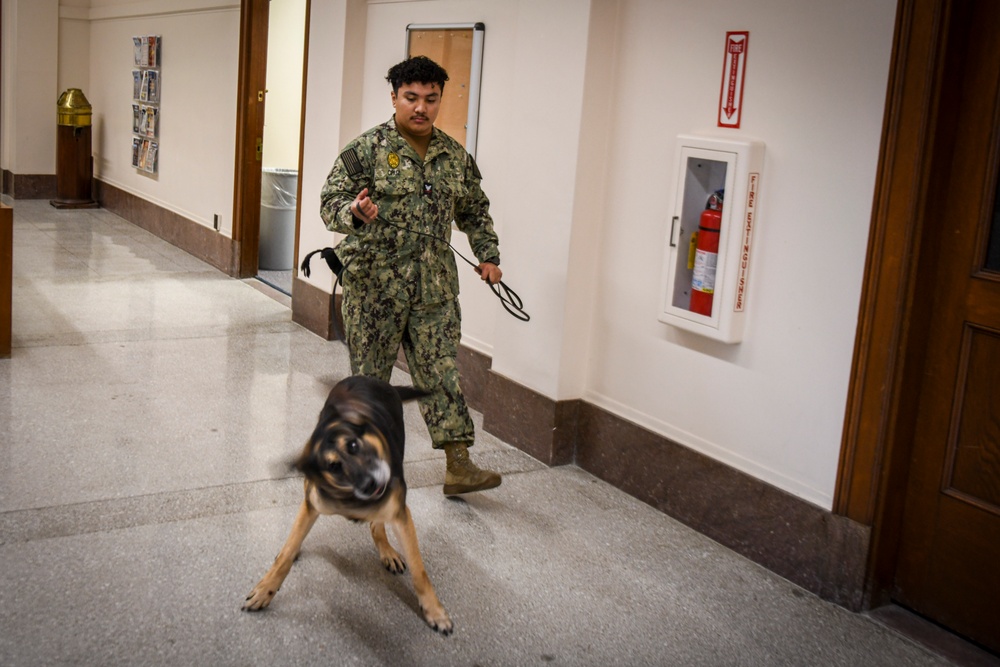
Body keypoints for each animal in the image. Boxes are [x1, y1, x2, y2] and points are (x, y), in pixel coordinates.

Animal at [246, 378, 454, 636]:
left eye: (353, 445)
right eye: (334, 466)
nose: (372, 483)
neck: (352, 497)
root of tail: (369, 379)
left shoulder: (400, 514)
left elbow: (420, 571)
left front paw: (434, 611)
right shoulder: (312, 504)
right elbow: (285, 554)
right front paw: (266, 588)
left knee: (377, 525)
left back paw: (387, 550)